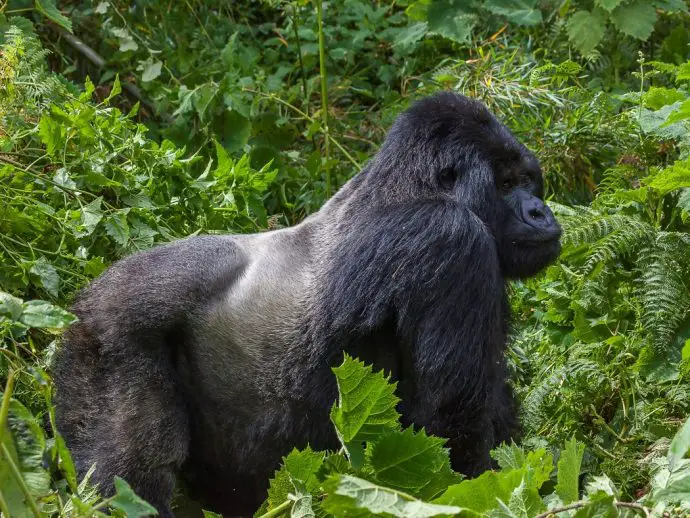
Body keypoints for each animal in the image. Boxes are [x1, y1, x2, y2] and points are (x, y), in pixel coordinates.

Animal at [52, 91, 560, 516]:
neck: (408, 186)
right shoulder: (452, 241)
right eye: (507, 183)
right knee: (132, 473)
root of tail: (90, 293)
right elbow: (451, 427)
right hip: (109, 335)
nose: (541, 212)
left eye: (528, 180)